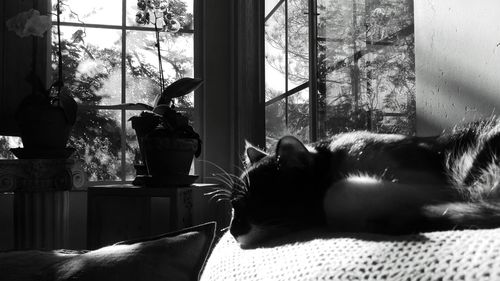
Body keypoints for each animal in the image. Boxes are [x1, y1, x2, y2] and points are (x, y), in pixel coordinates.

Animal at [221, 118, 500, 247]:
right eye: (232, 208)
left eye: (253, 204)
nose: (232, 231)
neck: (333, 158)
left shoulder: (434, 182)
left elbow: (335, 193)